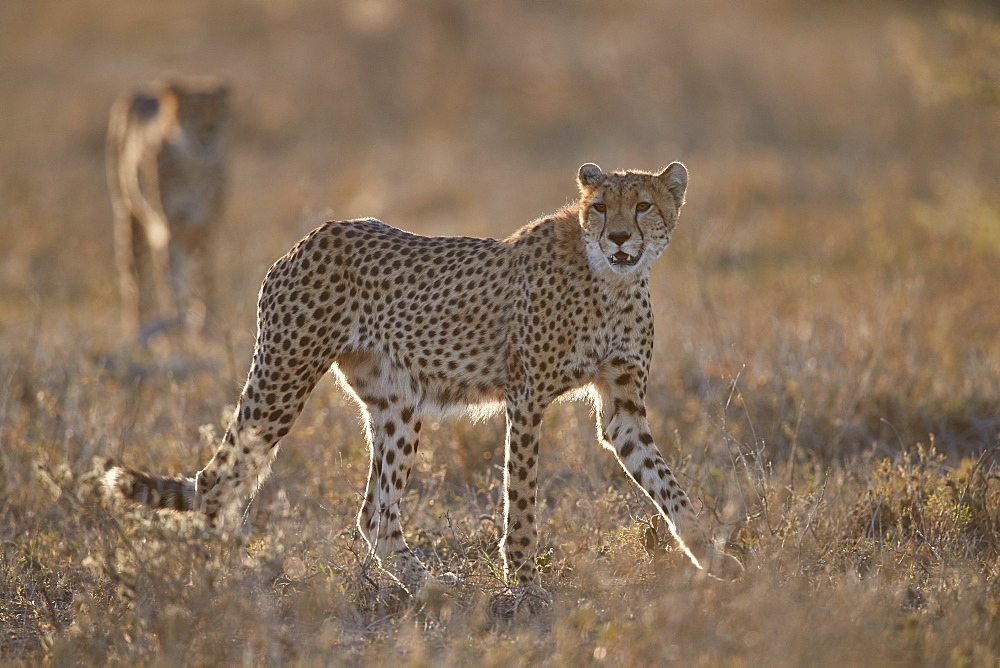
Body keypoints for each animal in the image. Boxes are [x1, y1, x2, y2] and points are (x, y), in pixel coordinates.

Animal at [106, 78, 230, 342]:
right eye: (192, 111)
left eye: (220, 110)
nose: (210, 132)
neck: (196, 164)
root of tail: (143, 91)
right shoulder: (171, 226)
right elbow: (173, 280)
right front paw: (178, 326)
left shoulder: (203, 227)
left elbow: (204, 275)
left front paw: (205, 326)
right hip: (128, 214)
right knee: (136, 277)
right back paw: (138, 328)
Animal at [107, 163, 744, 596]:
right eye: (602, 208)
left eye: (643, 205)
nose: (618, 238)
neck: (611, 282)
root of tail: (313, 235)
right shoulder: (527, 398)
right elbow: (522, 497)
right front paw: (523, 579)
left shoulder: (622, 409)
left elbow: (667, 485)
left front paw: (712, 556)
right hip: (283, 381)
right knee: (218, 480)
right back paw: (216, 582)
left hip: (398, 405)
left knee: (375, 513)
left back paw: (429, 586)